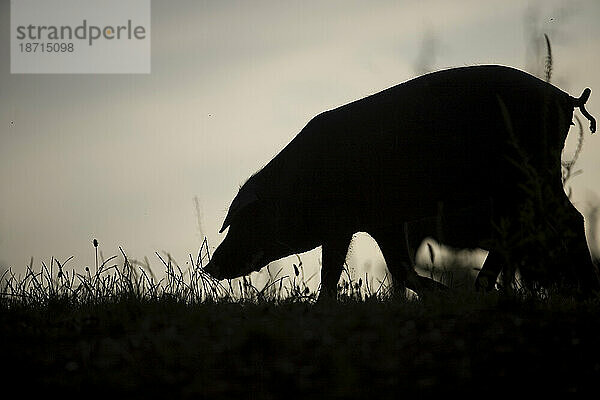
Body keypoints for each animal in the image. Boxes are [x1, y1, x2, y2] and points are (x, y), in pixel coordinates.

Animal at [204, 65, 596, 296]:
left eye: (244, 220)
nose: (208, 266)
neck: (298, 188)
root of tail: (565, 97)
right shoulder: (382, 222)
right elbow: (398, 269)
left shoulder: (341, 224)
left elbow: (333, 272)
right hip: (512, 186)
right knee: (511, 233)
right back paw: (480, 291)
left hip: (534, 169)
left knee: (571, 220)